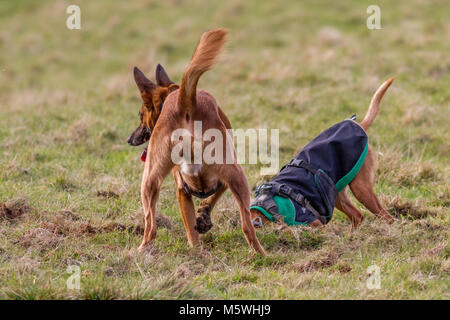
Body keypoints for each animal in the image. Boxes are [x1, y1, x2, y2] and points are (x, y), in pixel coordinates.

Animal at [127, 28, 268, 256]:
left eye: (141, 115)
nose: (130, 139)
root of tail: (184, 100)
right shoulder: (216, 181)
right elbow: (208, 202)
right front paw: (203, 218)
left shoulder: (187, 188)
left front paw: (200, 223)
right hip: (237, 175)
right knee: (246, 224)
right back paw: (260, 254)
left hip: (148, 182)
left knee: (151, 226)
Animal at [248, 79, 396, 231]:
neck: (267, 206)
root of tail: (358, 124)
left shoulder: (315, 223)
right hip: (335, 194)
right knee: (357, 216)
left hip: (361, 188)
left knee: (387, 218)